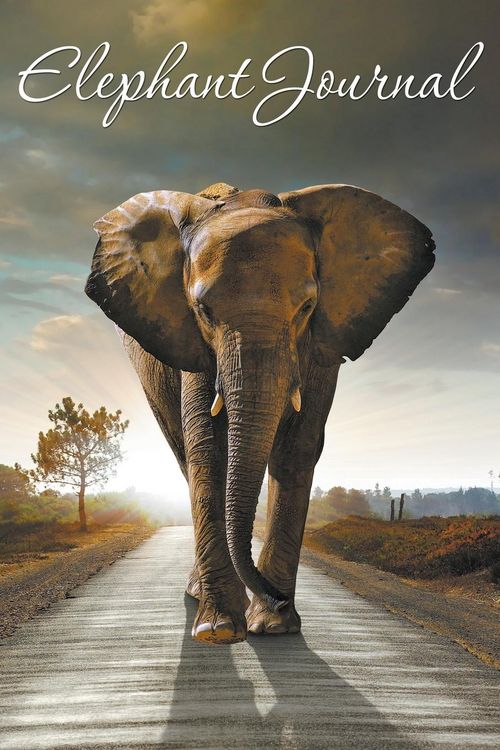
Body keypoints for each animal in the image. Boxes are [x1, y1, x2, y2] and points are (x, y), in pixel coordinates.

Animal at [85, 181, 434, 644]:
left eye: (307, 307)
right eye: (203, 310)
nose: (277, 598)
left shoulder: (322, 343)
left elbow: (297, 449)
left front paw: (273, 626)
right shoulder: (194, 347)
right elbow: (208, 448)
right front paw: (219, 630)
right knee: (183, 454)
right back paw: (200, 596)